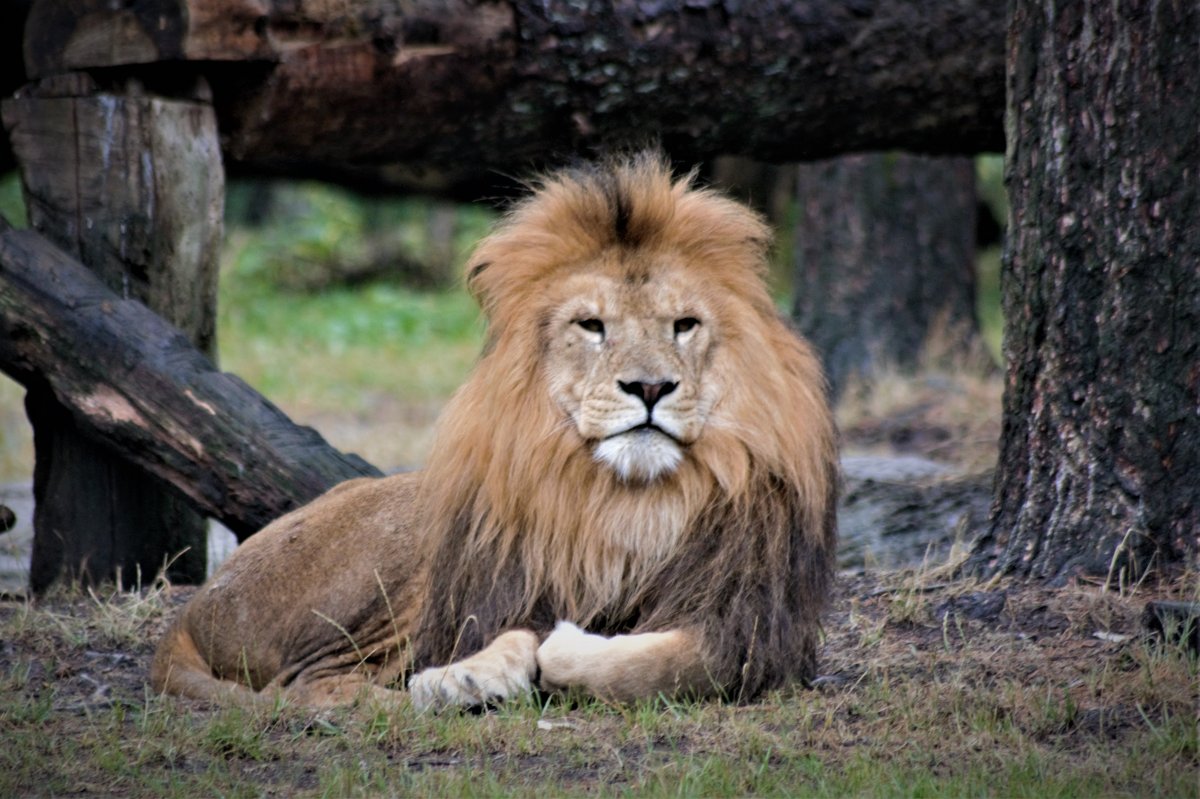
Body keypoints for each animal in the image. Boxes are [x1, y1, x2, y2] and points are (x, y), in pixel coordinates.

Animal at [150, 151, 840, 710]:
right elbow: (534, 637)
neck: (627, 504)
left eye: (684, 325)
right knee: (308, 689)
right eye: (592, 326)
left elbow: (665, 666)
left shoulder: (753, 628)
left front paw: (549, 655)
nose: (649, 388)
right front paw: (482, 669)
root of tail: (192, 609)